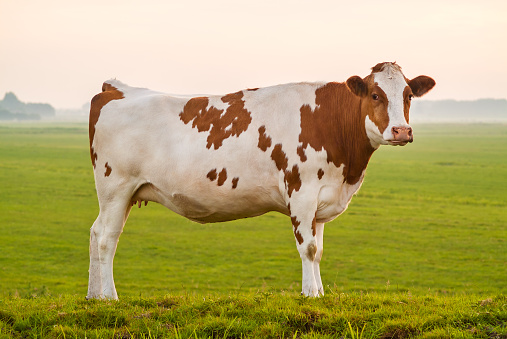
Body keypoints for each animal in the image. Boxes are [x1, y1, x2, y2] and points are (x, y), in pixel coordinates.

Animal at [87, 61, 436, 300]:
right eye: (375, 94)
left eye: (408, 95)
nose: (401, 131)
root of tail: (116, 88)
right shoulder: (302, 192)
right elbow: (308, 247)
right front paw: (310, 294)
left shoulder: (322, 198)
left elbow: (319, 250)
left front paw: (320, 293)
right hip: (115, 188)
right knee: (106, 238)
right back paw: (111, 298)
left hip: (123, 194)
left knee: (94, 233)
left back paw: (94, 296)